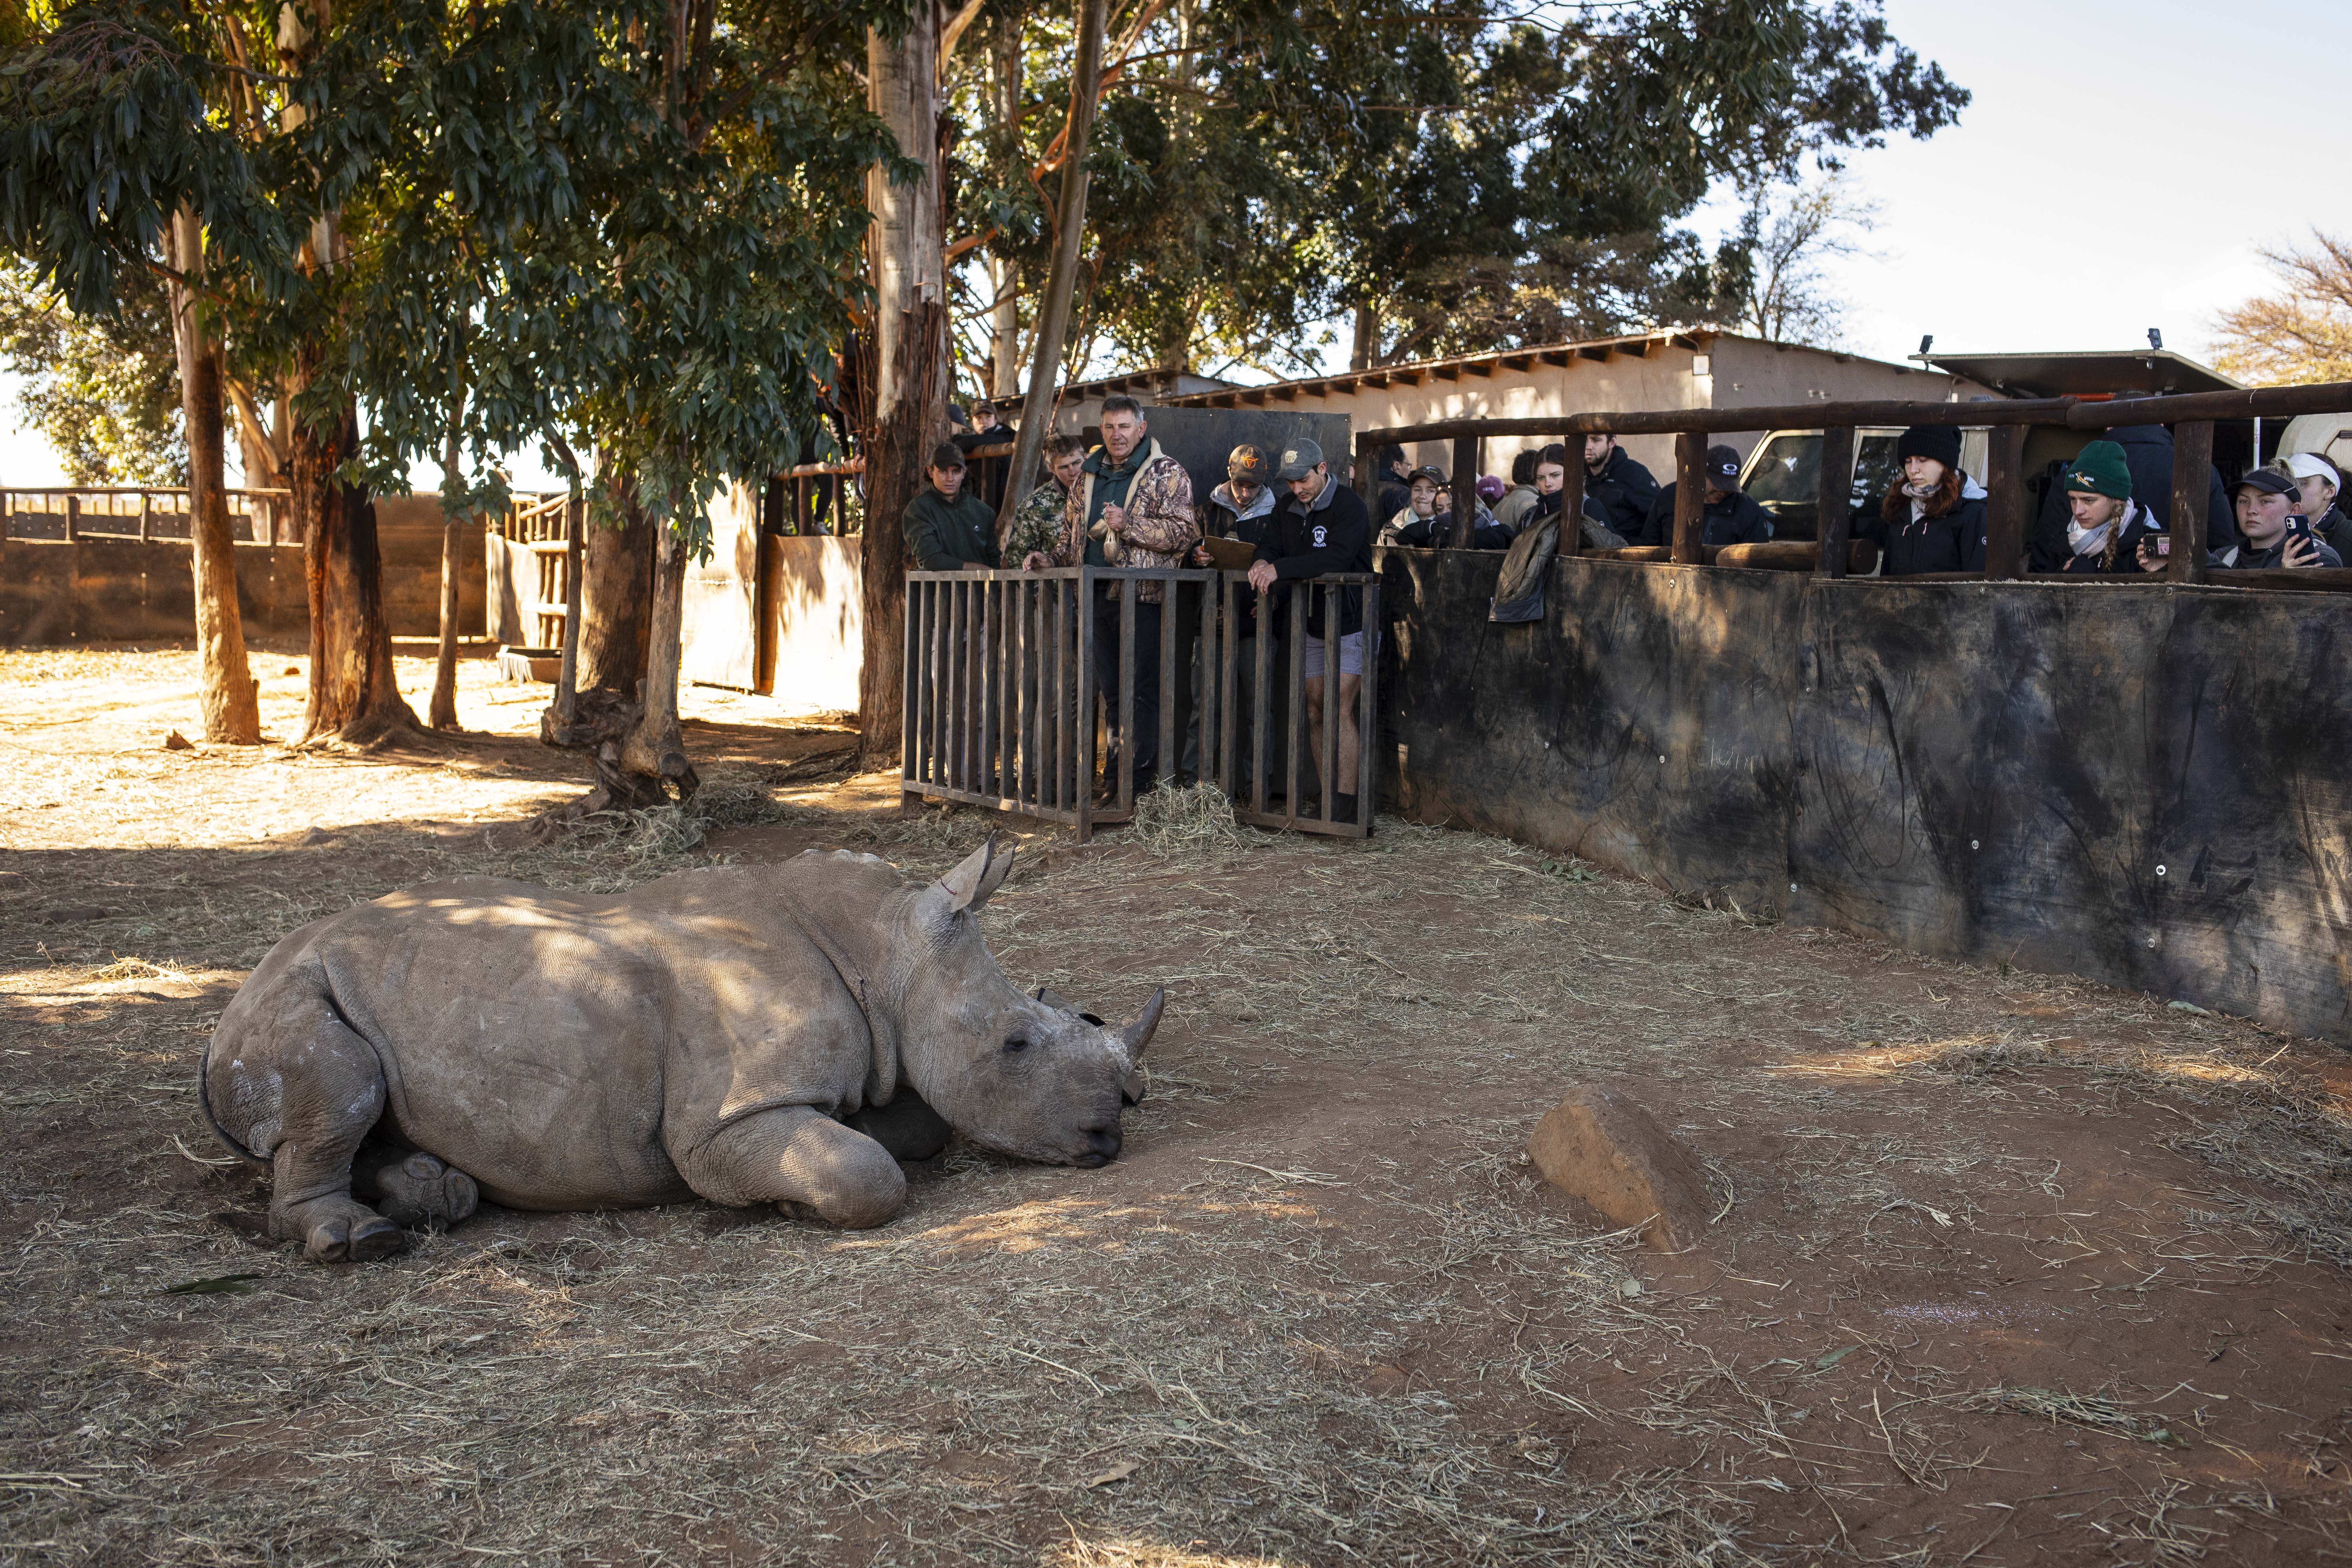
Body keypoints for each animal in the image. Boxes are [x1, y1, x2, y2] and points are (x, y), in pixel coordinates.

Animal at [197, 837, 1161, 1262]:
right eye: (1015, 1043)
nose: (1112, 1134)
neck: (883, 951)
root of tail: (226, 1015)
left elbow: (913, 1128)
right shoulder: (718, 1125)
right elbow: (867, 1176)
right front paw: (796, 1201)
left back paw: (437, 1195)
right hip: (287, 995)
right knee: (342, 1085)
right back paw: (360, 1240)